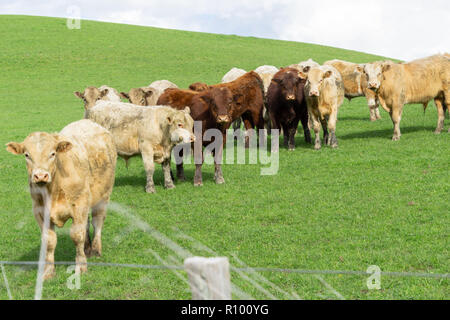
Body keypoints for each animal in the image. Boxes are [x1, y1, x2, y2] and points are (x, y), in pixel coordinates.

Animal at [5, 119, 118, 278]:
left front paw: (81, 267)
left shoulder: (79, 206)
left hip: (103, 196)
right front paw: (48, 272)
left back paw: (96, 249)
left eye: (53, 153)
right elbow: (49, 240)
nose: (40, 175)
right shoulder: (39, 211)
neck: (53, 191)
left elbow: (77, 235)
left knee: (97, 221)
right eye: (27, 155)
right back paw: (87, 248)